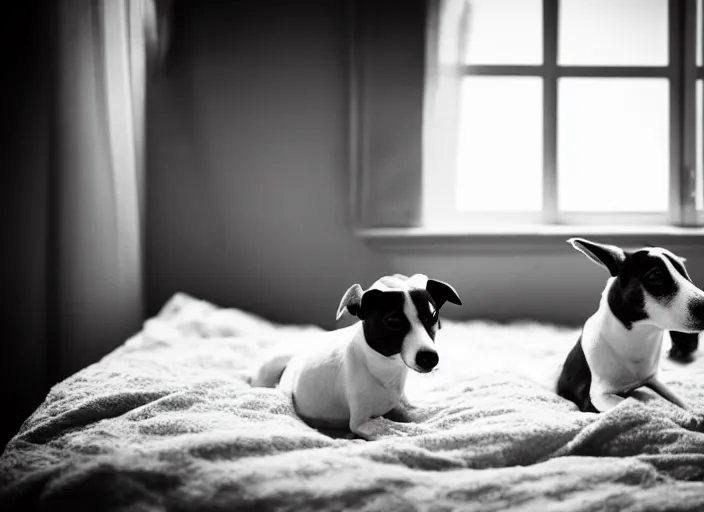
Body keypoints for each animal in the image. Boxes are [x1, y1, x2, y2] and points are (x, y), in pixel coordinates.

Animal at [249, 276, 462, 440]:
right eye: (393, 321)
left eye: (433, 317)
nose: (430, 358)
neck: (385, 372)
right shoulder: (361, 422)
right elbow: (389, 428)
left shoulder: (404, 406)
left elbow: (419, 414)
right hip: (269, 371)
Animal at [560, 239, 700, 412]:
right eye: (655, 276)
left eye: (685, 273)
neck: (637, 336)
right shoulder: (596, 398)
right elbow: (639, 406)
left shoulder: (653, 379)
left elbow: (679, 401)